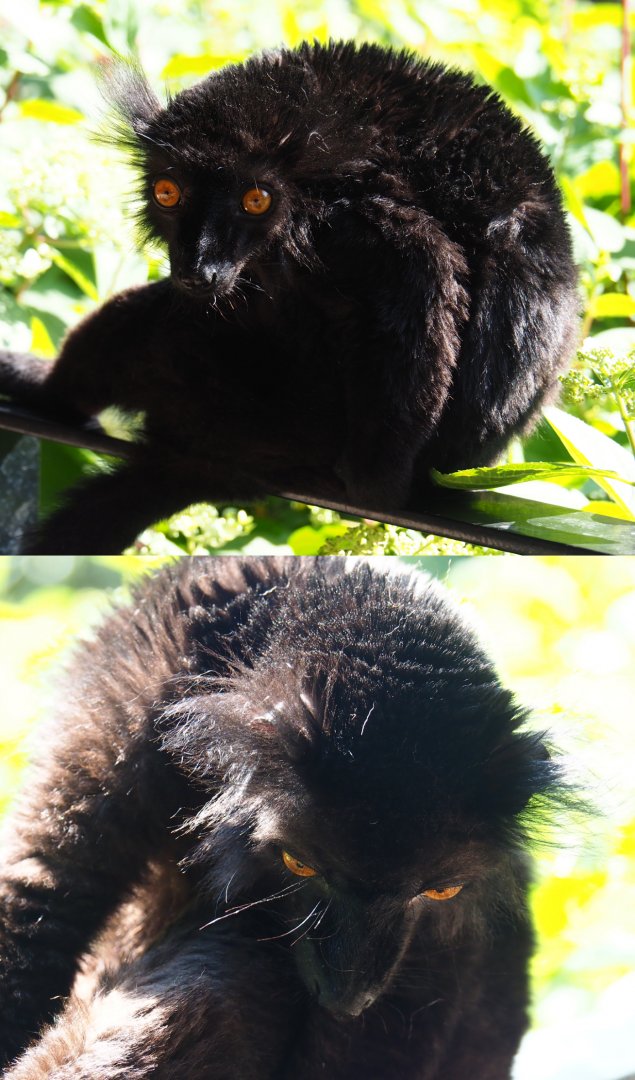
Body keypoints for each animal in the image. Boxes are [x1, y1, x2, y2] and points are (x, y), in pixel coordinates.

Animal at [0, 41, 579, 554]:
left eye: (256, 200)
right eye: (168, 193)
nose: (199, 269)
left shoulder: (351, 223)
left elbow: (425, 262)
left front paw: (375, 484)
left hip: (265, 409)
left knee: (146, 327)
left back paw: (46, 391)